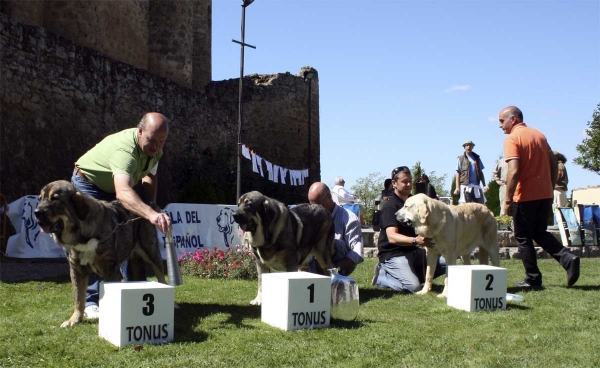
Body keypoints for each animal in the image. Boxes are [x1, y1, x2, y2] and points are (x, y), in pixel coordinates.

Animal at [35, 180, 166, 326]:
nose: (36, 212)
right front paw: (74, 319)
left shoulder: (110, 270)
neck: (82, 235)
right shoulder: (76, 270)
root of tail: (146, 204)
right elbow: (78, 298)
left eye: (55, 199)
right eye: (40, 198)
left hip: (150, 250)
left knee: (161, 275)